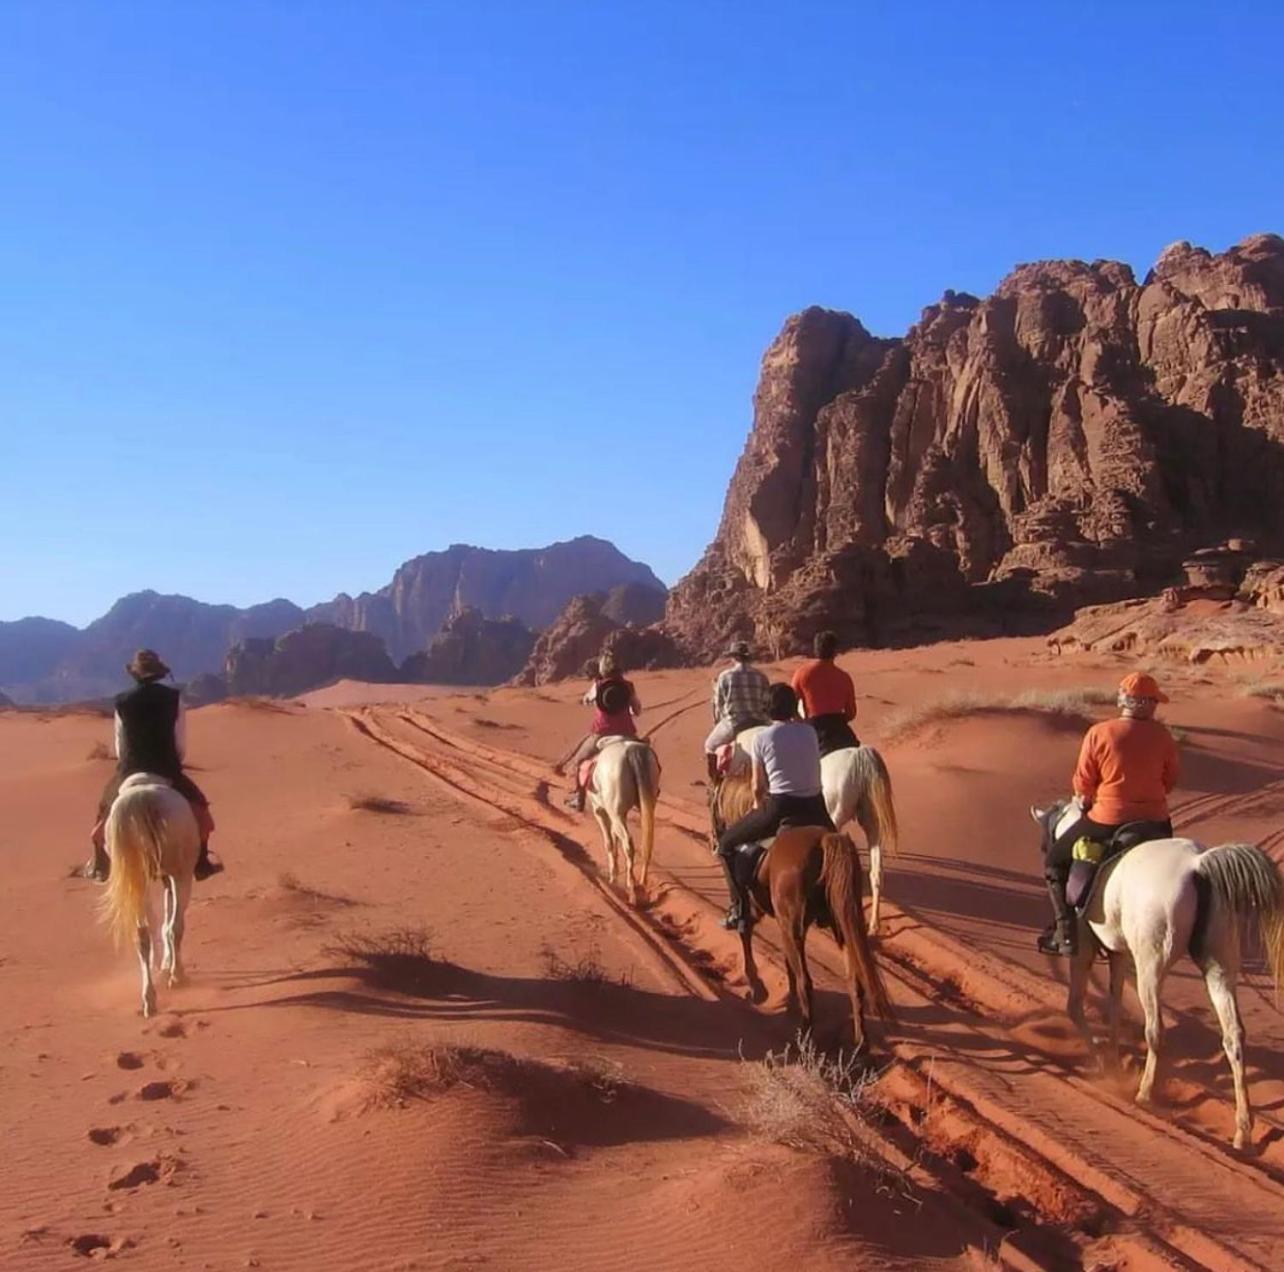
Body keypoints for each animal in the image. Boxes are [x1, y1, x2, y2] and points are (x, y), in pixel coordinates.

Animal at [100, 770, 200, 1021]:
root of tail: (142, 797)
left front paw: (162, 965)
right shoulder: (174, 875)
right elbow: (170, 922)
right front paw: (169, 966)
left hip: (137, 879)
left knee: (142, 934)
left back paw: (149, 999)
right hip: (181, 874)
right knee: (175, 926)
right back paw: (177, 976)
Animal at [585, 734, 657, 903]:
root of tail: (633, 751)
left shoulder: (600, 811)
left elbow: (609, 843)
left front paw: (612, 878)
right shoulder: (616, 814)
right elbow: (614, 838)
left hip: (614, 811)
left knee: (628, 842)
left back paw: (631, 887)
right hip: (645, 803)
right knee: (647, 841)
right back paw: (642, 885)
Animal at [713, 775, 893, 1052]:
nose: (714, 837)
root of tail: (825, 842)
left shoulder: (755, 910)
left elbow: (746, 934)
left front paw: (756, 987)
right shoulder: (783, 923)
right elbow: (788, 964)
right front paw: (787, 1005)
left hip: (797, 926)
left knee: (806, 981)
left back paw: (805, 1037)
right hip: (842, 924)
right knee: (854, 982)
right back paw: (860, 1043)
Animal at [1032, 800, 1284, 1150]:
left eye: (1046, 844)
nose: (1045, 849)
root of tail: (1198, 865)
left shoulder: (1083, 951)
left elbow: (1075, 1007)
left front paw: (1103, 1066)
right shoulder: (1119, 954)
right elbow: (1113, 1006)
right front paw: (1114, 1059)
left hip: (1150, 967)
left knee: (1155, 1029)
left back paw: (1144, 1092)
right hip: (1219, 967)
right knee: (1233, 1036)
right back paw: (1243, 1129)